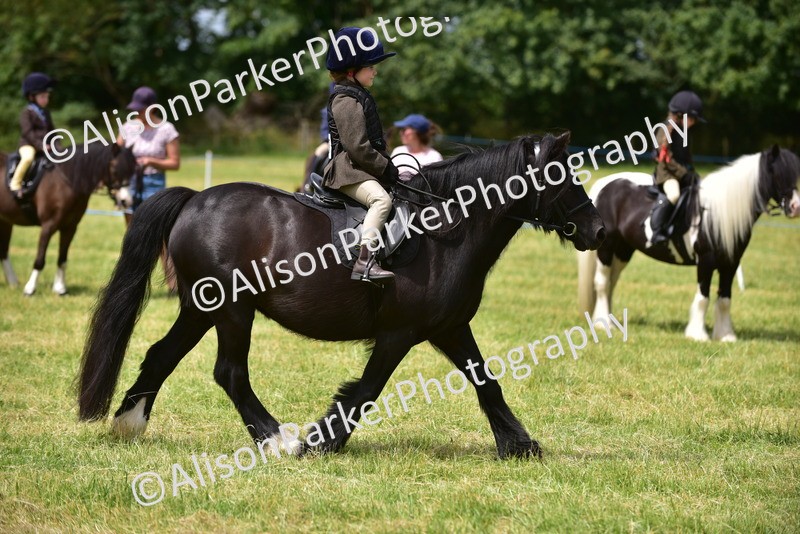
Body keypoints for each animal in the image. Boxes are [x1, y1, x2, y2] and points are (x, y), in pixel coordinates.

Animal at [0, 143, 136, 295]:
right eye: (115, 170)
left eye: (132, 171)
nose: (126, 201)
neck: (67, 182)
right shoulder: (48, 226)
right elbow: (40, 259)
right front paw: (30, 288)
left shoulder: (70, 227)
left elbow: (62, 258)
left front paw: (60, 288)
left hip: (5, 221)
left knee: (4, 251)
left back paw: (13, 283)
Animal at [77, 132, 605, 459]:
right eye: (561, 176)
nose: (599, 230)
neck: (446, 230)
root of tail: (194, 200)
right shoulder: (398, 334)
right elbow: (366, 391)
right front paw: (321, 441)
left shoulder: (452, 327)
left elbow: (486, 382)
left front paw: (519, 446)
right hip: (232, 311)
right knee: (229, 372)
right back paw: (279, 440)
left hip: (200, 309)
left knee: (161, 355)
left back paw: (129, 424)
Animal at [578, 145, 800, 341]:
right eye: (777, 174)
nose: (795, 207)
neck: (716, 214)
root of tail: (606, 185)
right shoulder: (706, 262)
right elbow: (703, 298)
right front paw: (697, 335)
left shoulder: (730, 264)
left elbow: (725, 300)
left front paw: (725, 336)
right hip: (607, 249)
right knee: (602, 283)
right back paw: (602, 323)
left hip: (624, 250)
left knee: (611, 282)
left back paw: (610, 321)